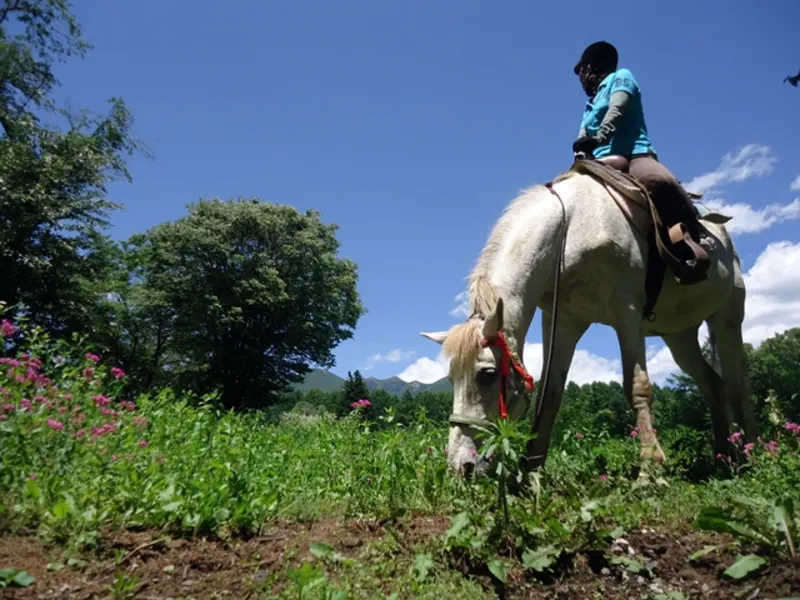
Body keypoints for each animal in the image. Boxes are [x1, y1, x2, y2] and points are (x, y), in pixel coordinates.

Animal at [422, 158, 760, 482]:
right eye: (451, 378)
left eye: (487, 375)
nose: (460, 466)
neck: (569, 229)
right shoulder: (563, 321)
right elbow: (550, 394)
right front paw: (530, 472)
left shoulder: (627, 312)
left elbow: (637, 387)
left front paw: (650, 470)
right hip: (679, 336)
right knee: (713, 386)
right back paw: (722, 458)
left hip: (728, 316)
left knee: (736, 385)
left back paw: (752, 454)